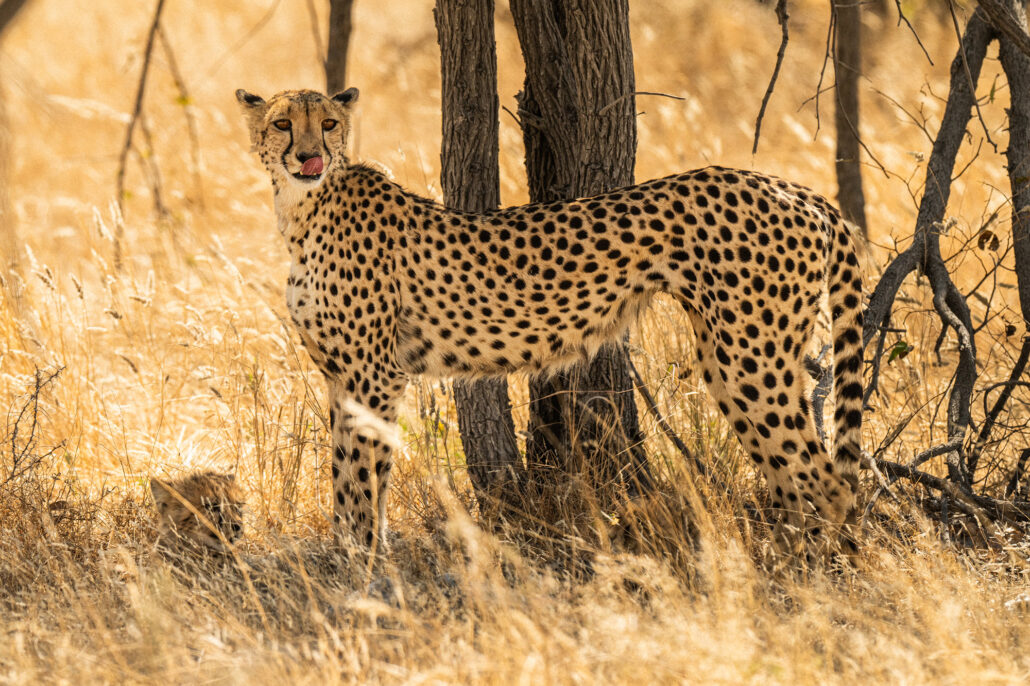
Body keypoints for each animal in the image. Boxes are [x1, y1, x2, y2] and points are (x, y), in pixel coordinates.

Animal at [236, 87, 865, 557]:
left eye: (329, 123)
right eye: (283, 124)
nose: (310, 158)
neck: (303, 207)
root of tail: (791, 188)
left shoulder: (374, 375)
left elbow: (364, 476)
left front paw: (366, 565)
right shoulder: (342, 376)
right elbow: (344, 472)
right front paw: (346, 555)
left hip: (747, 358)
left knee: (827, 479)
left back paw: (812, 583)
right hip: (733, 361)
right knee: (790, 478)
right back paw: (785, 563)